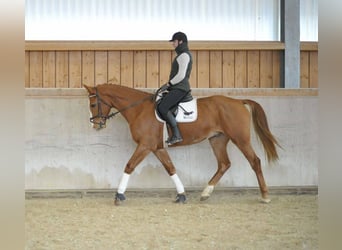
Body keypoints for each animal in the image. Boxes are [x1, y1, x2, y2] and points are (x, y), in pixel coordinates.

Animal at [84, 84, 280, 205]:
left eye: (93, 104)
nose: (95, 125)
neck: (138, 109)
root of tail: (238, 101)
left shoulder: (145, 146)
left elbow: (129, 166)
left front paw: (119, 195)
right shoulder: (157, 148)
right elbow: (170, 168)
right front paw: (181, 195)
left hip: (240, 139)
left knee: (255, 162)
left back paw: (265, 196)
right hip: (217, 139)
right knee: (224, 164)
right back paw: (205, 193)